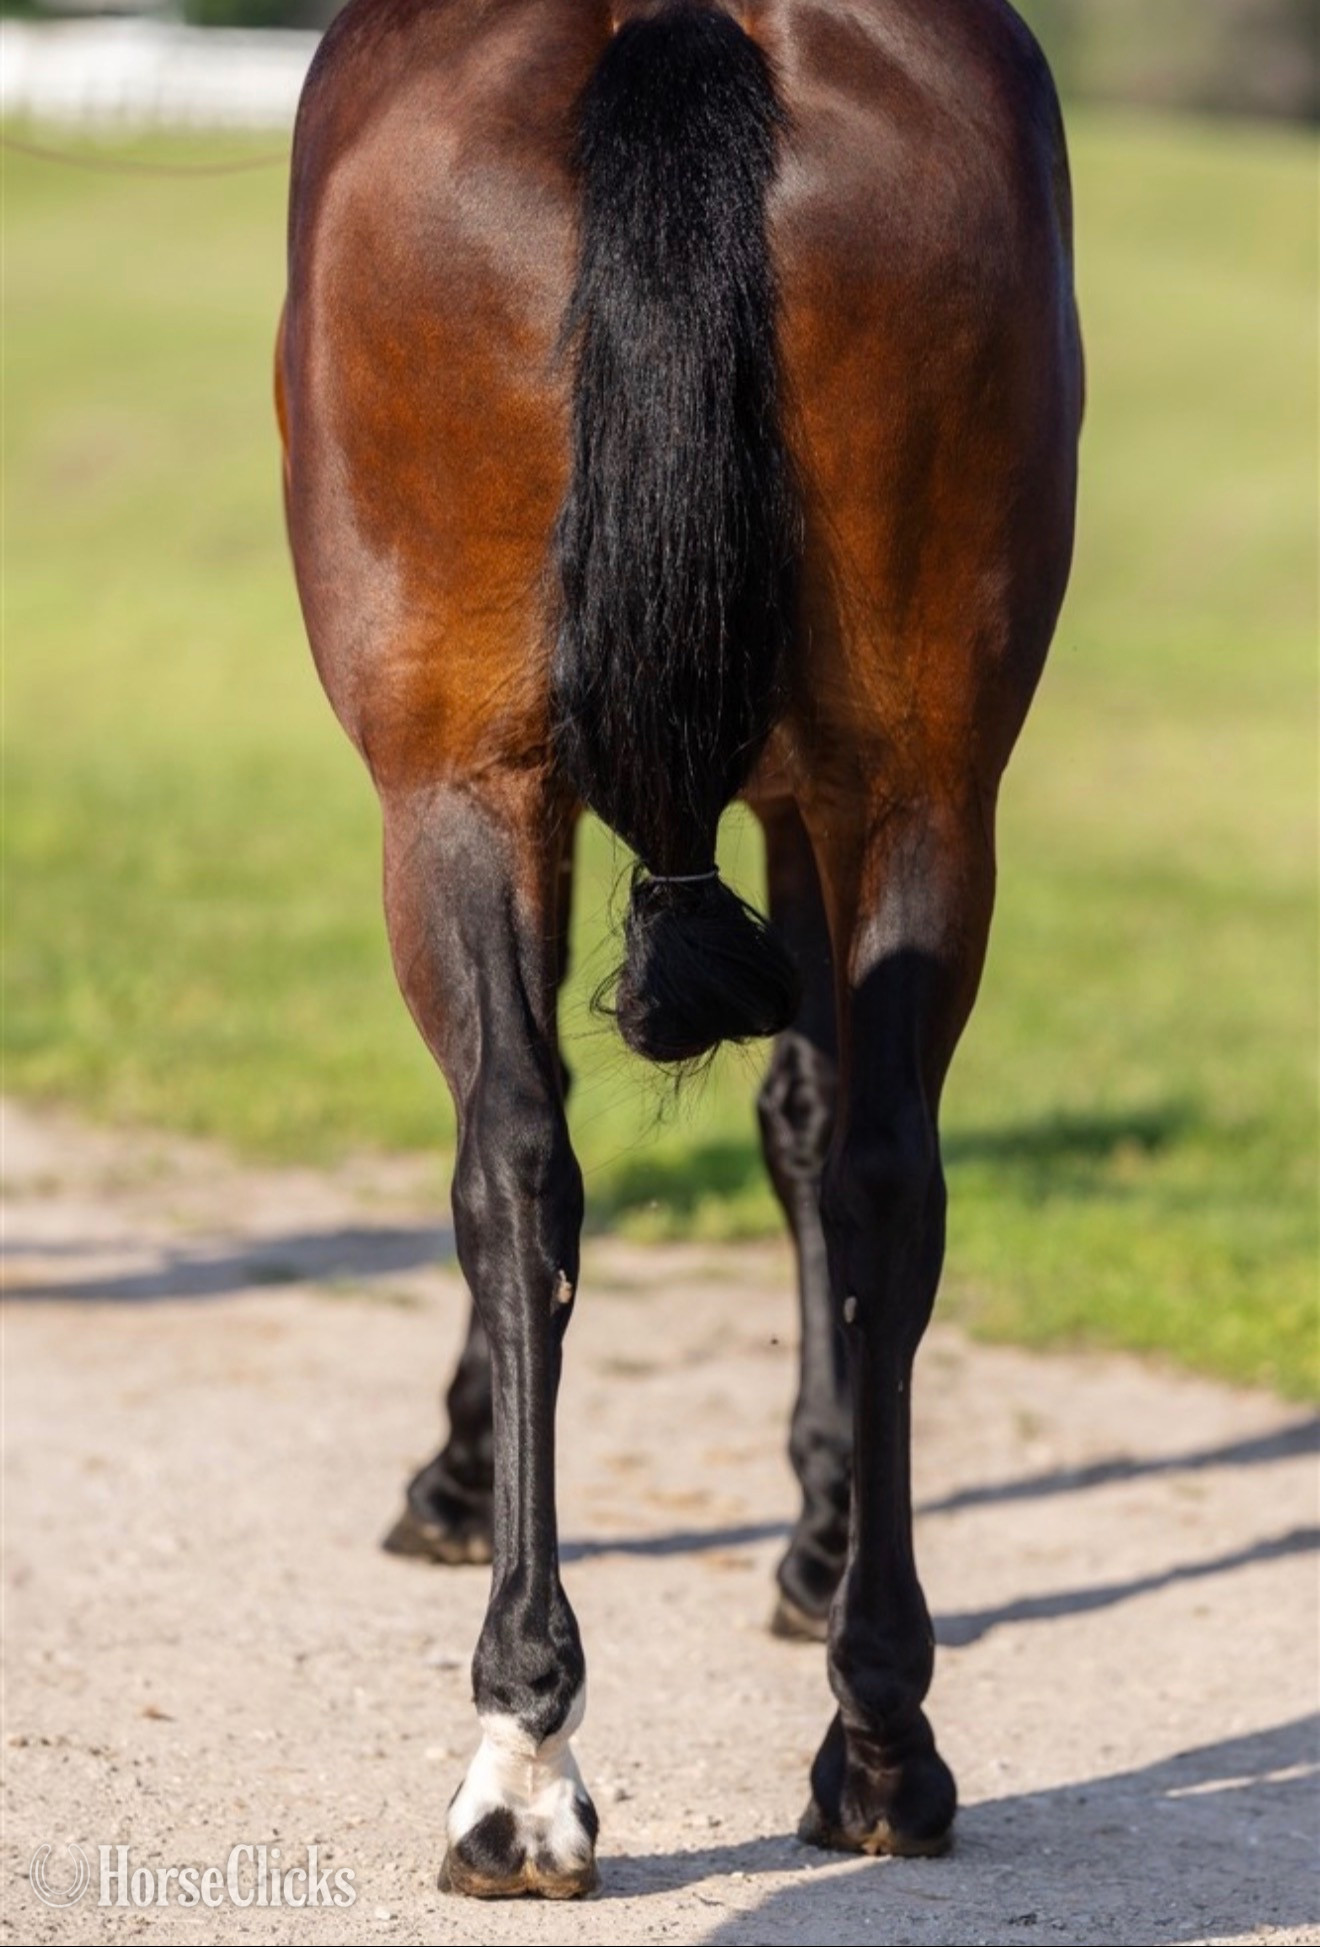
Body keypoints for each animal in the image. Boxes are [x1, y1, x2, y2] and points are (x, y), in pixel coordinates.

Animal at [277, 0, 1082, 1899]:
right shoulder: (806, 793)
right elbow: (807, 1122)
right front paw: (822, 1522)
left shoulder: (534, 786)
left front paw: (464, 1461)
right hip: (925, 785)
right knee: (883, 1174)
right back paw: (882, 1732)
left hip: (451, 785)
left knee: (514, 1159)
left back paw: (524, 1750)